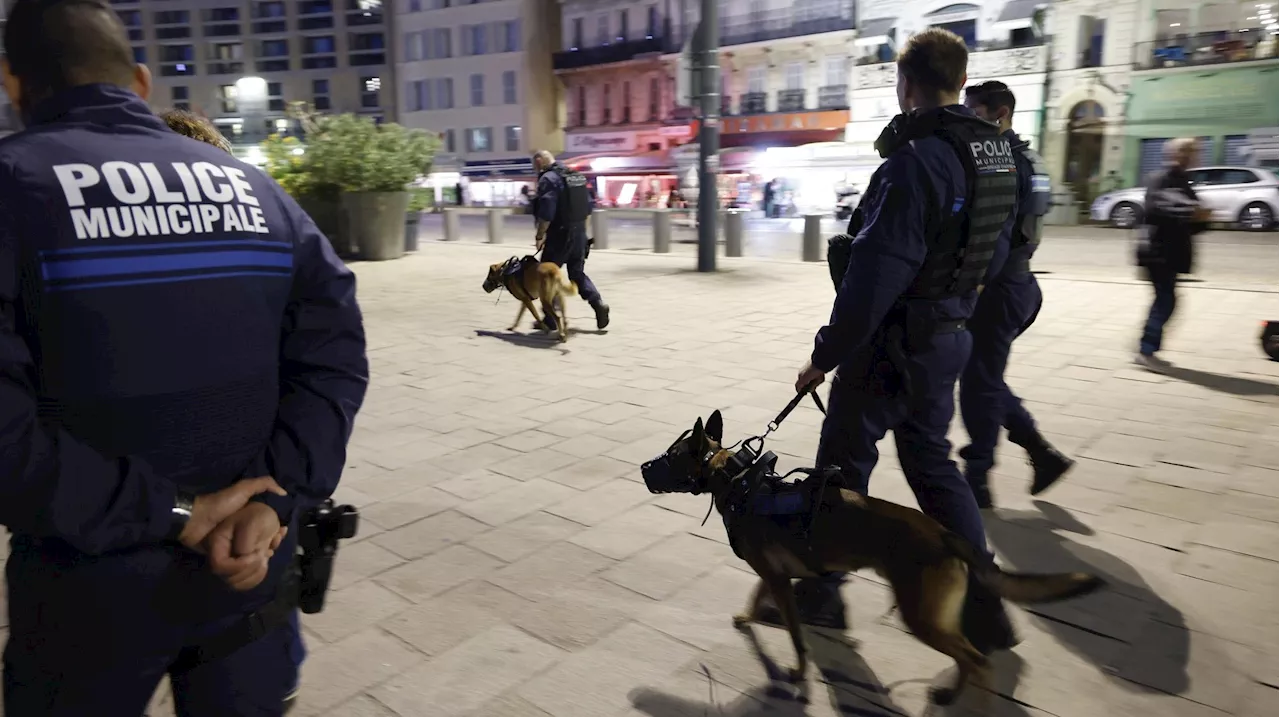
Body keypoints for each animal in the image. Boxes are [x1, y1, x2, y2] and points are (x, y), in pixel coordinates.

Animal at [645, 412, 1105, 701]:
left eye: (670, 455)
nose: (643, 468)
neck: (737, 480)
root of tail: (945, 534)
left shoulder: (778, 581)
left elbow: (795, 635)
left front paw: (797, 673)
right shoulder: (773, 576)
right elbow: (757, 595)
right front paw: (748, 617)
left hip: (919, 617)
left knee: (974, 660)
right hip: (933, 618)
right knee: (965, 656)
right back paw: (951, 690)